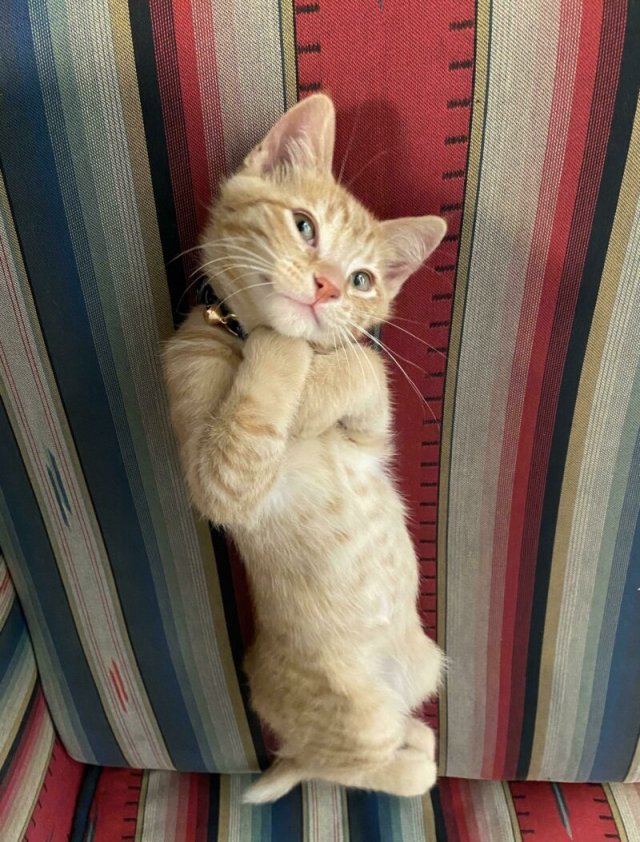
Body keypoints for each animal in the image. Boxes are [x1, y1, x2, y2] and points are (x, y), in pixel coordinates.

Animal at [163, 94, 446, 803]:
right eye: (304, 226)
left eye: (364, 279)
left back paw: (417, 741)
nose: (327, 288)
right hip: (353, 711)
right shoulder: (216, 481)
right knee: (351, 765)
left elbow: (358, 366)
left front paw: (313, 382)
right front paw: (288, 360)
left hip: (421, 665)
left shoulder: (371, 430)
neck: (237, 337)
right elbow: (264, 398)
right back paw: (413, 757)